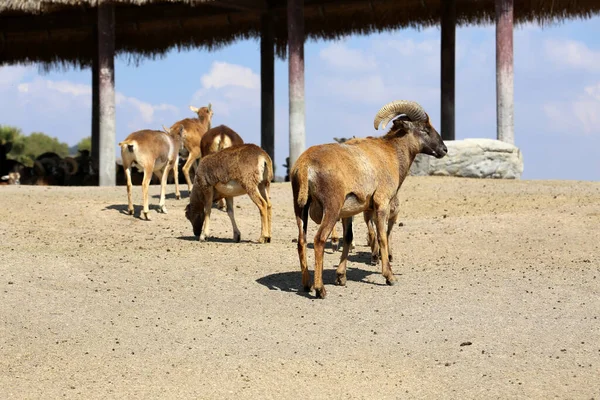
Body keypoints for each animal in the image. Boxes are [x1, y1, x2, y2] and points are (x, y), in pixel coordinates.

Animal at [288, 100, 448, 298]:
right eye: (425, 129)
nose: (444, 149)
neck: (391, 154)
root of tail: (305, 165)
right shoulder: (381, 205)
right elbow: (382, 237)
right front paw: (390, 277)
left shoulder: (348, 213)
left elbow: (348, 238)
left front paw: (341, 277)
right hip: (331, 208)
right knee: (319, 240)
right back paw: (320, 290)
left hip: (300, 208)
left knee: (301, 241)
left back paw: (306, 285)